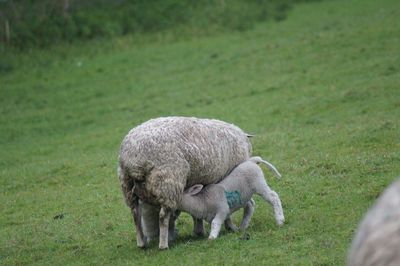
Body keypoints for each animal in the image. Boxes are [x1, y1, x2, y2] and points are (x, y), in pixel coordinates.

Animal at [117, 116, 252, 249]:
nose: (152, 236)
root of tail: (135, 158)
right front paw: (229, 227)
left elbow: (195, 210)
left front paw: (198, 231)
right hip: (168, 183)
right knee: (163, 216)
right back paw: (163, 245)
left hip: (128, 186)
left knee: (135, 214)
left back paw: (142, 243)